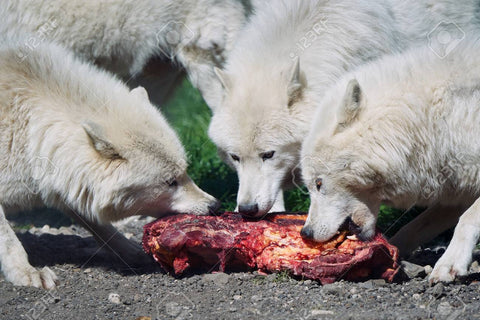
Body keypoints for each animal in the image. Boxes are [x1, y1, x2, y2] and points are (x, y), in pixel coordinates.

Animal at [0, 41, 219, 288]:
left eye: (186, 172)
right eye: (170, 182)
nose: (215, 205)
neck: (29, 132)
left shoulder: (70, 184)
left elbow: (101, 226)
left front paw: (132, 252)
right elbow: (9, 239)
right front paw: (26, 272)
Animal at [300, 39, 480, 282]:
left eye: (318, 184)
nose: (305, 233)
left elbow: (467, 219)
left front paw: (450, 264)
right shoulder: (458, 190)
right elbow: (413, 227)